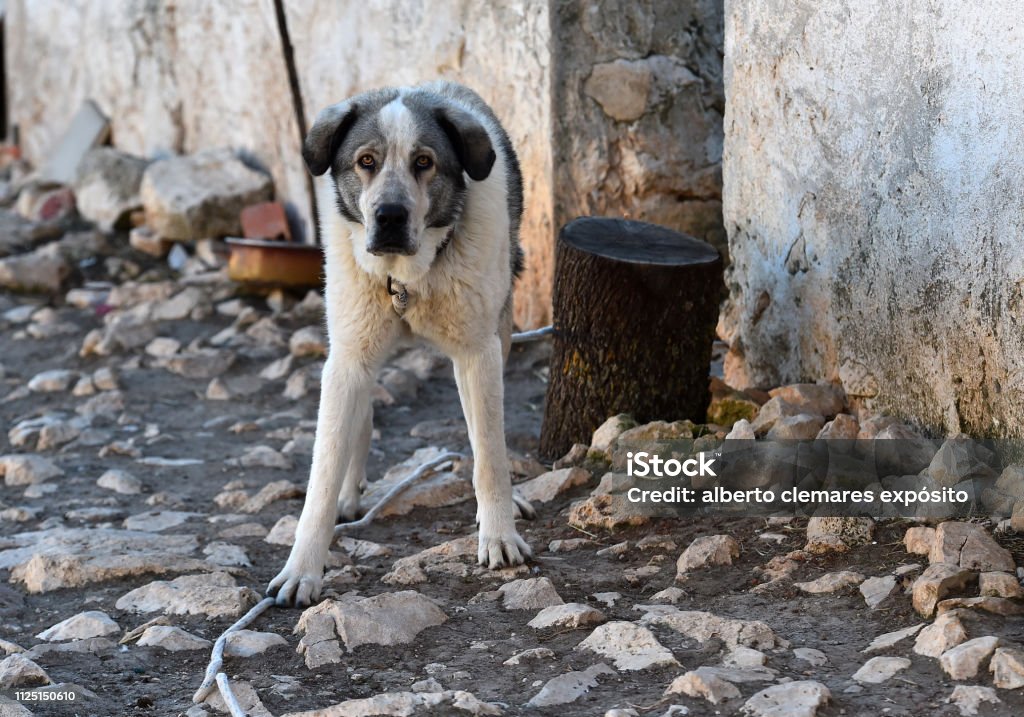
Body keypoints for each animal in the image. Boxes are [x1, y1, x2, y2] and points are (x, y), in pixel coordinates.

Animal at [264, 81, 536, 606]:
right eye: (366, 161)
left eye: (424, 161)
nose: (390, 216)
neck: (407, 280)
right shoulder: (346, 360)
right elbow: (321, 476)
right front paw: (302, 568)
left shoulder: (478, 353)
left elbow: (490, 455)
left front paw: (498, 534)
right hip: (355, 350)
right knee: (361, 415)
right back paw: (351, 491)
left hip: (499, 331)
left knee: (481, 434)